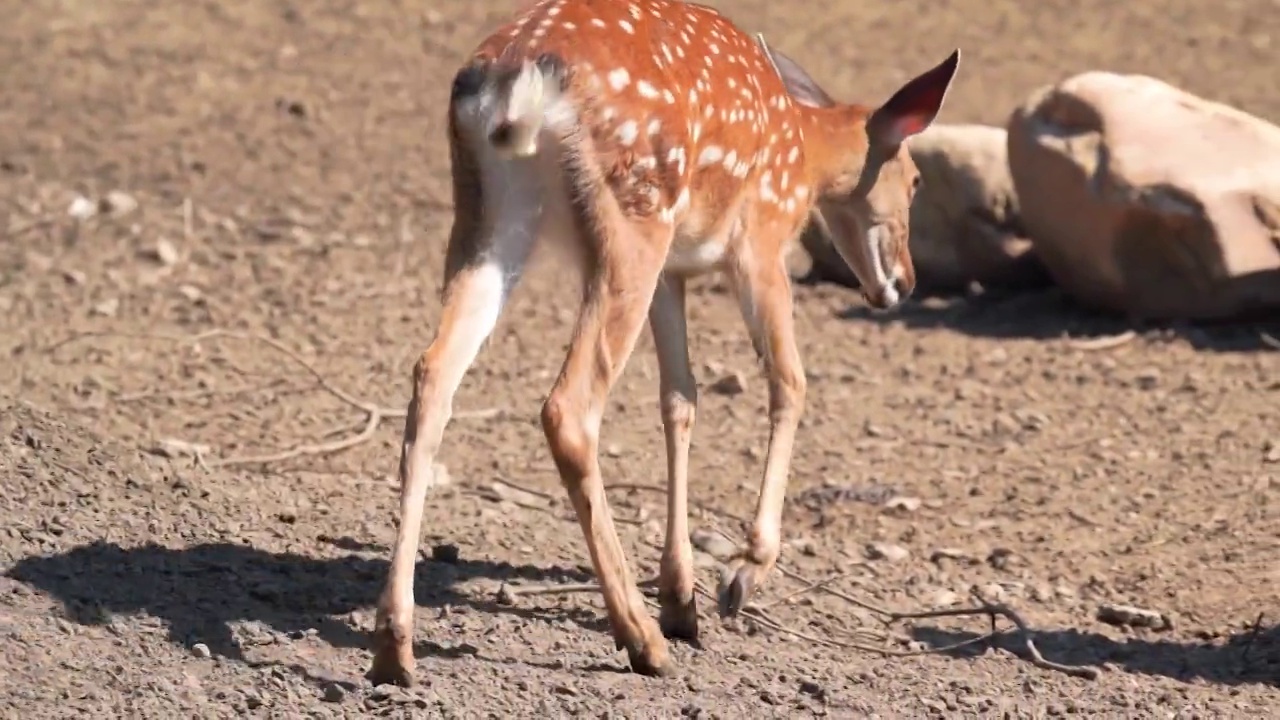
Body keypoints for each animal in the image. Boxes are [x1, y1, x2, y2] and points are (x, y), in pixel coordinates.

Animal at [366, 0, 957, 681]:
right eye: (915, 180)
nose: (905, 283)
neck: (802, 154)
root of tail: (519, 83)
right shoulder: (760, 242)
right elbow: (789, 382)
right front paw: (741, 574)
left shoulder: (676, 272)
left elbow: (681, 399)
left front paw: (682, 597)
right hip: (635, 212)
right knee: (568, 406)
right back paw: (640, 639)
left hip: (489, 215)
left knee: (432, 374)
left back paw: (394, 646)